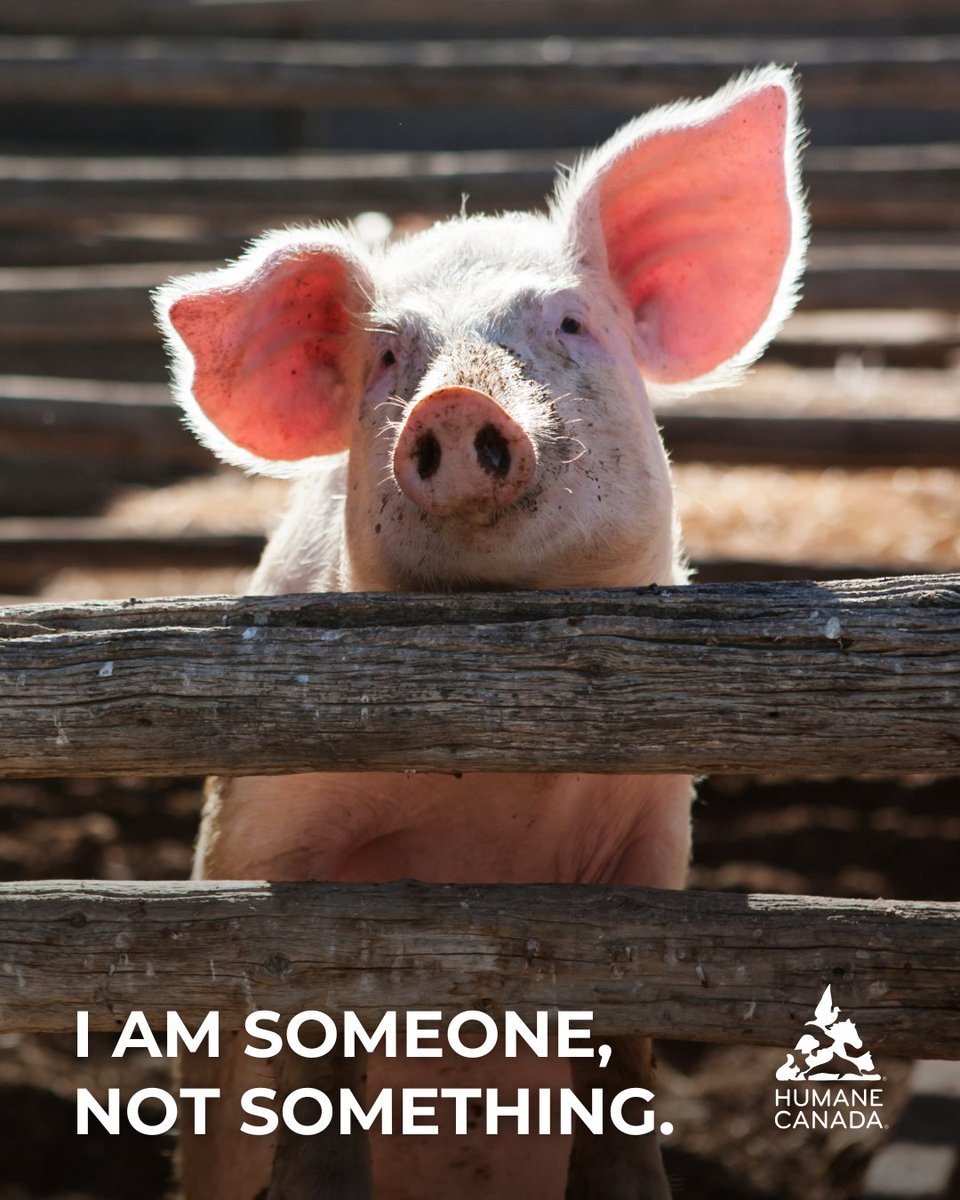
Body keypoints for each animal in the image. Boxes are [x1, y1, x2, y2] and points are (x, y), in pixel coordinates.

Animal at [155, 65, 806, 1200]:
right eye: (386, 355)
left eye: (572, 322)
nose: (454, 404)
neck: (495, 794)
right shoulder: (266, 841)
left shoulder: (652, 845)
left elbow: (623, 1064)